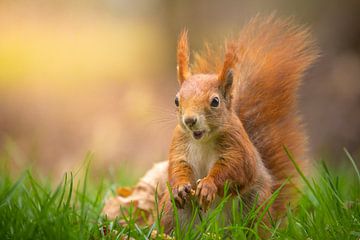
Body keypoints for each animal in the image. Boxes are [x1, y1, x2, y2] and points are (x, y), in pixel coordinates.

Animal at [160, 15, 318, 232]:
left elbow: (236, 169)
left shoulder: (237, 146)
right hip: (170, 212)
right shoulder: (179, 143)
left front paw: (208, 185)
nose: (190, 120)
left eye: (215, 101)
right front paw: (180, 187)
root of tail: (213, 229)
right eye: (176, 100)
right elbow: (178, 166)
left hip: (254, 203)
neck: (202, 140)